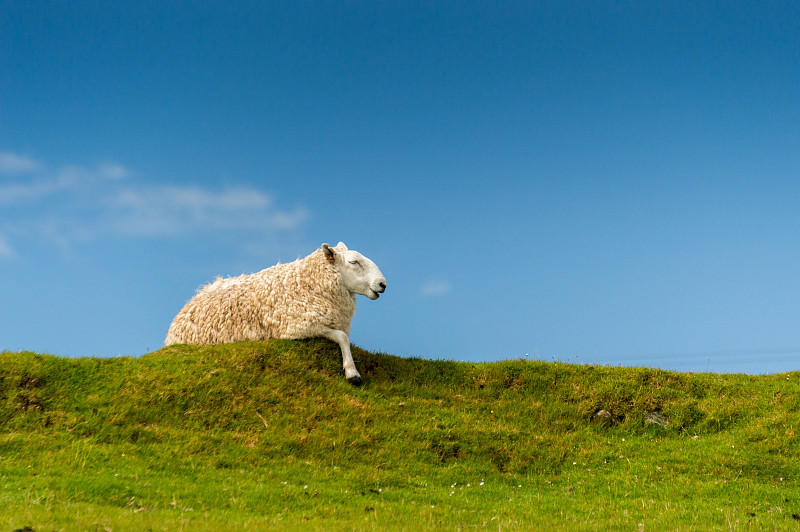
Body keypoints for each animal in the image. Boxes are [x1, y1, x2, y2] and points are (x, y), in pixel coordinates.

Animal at [164, 243, 386, 384]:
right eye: (354, 262)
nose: (382, 284)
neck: (307, 282)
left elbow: (343, 336)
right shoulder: (300, 327)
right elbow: (342, 337)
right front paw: (352, 373)